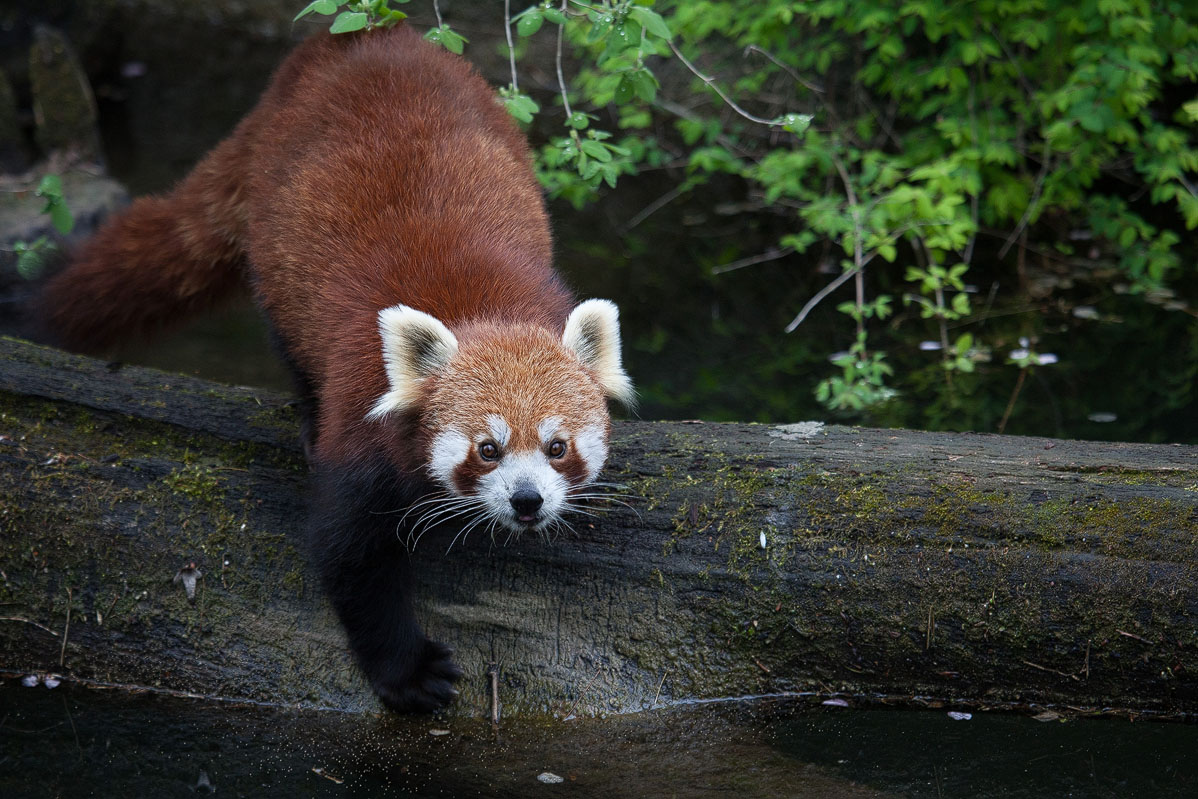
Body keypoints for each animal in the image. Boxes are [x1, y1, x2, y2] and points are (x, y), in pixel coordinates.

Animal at [39, 23, 637, 713]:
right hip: (277, 249)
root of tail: (361, 34)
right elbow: (349, 556)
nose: (527, 501)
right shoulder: (360, 416)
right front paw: (409, 672)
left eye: (557, 446)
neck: (484, 309)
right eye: (487, 449)